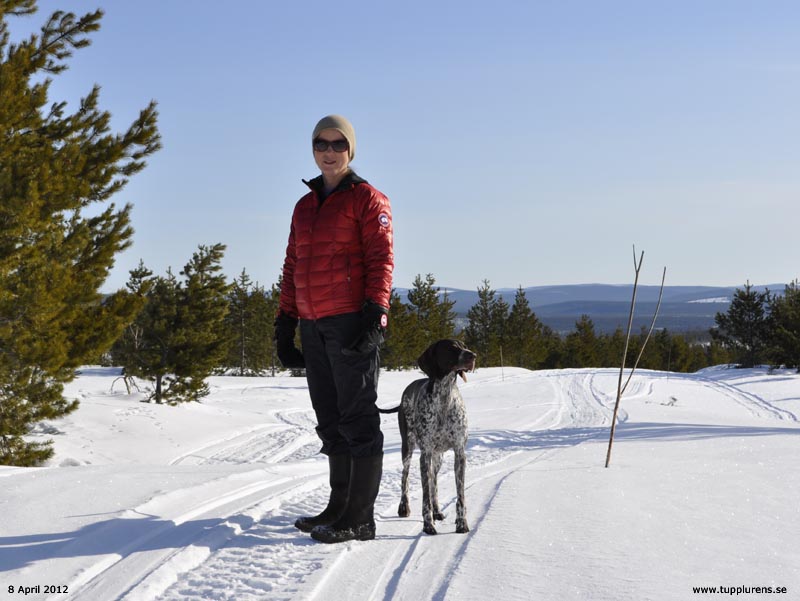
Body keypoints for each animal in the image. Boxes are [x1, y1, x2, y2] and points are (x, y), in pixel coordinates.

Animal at [379, 339, 477, 535]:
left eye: (464, 345)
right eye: (451, 348)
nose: (473, 356)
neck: (445, 397)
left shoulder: (459, 452)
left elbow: (459, 494)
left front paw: (461, 523)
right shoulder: (425, 455)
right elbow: (424, 498)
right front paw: (428, 524)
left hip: (437, 456)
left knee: (434, 483)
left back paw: (437, 510)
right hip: (408, 448)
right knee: (405, 478)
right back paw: (404, 507)